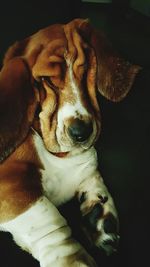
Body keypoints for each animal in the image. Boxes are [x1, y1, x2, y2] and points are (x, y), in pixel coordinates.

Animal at [0, 19, 141, 267]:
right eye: (46, 80)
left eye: (85, 70)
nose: (81, 132)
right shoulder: (12, 184)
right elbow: (49, 223)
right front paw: (73, 259)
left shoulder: (84, 162)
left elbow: (91, 172)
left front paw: (100, 214)